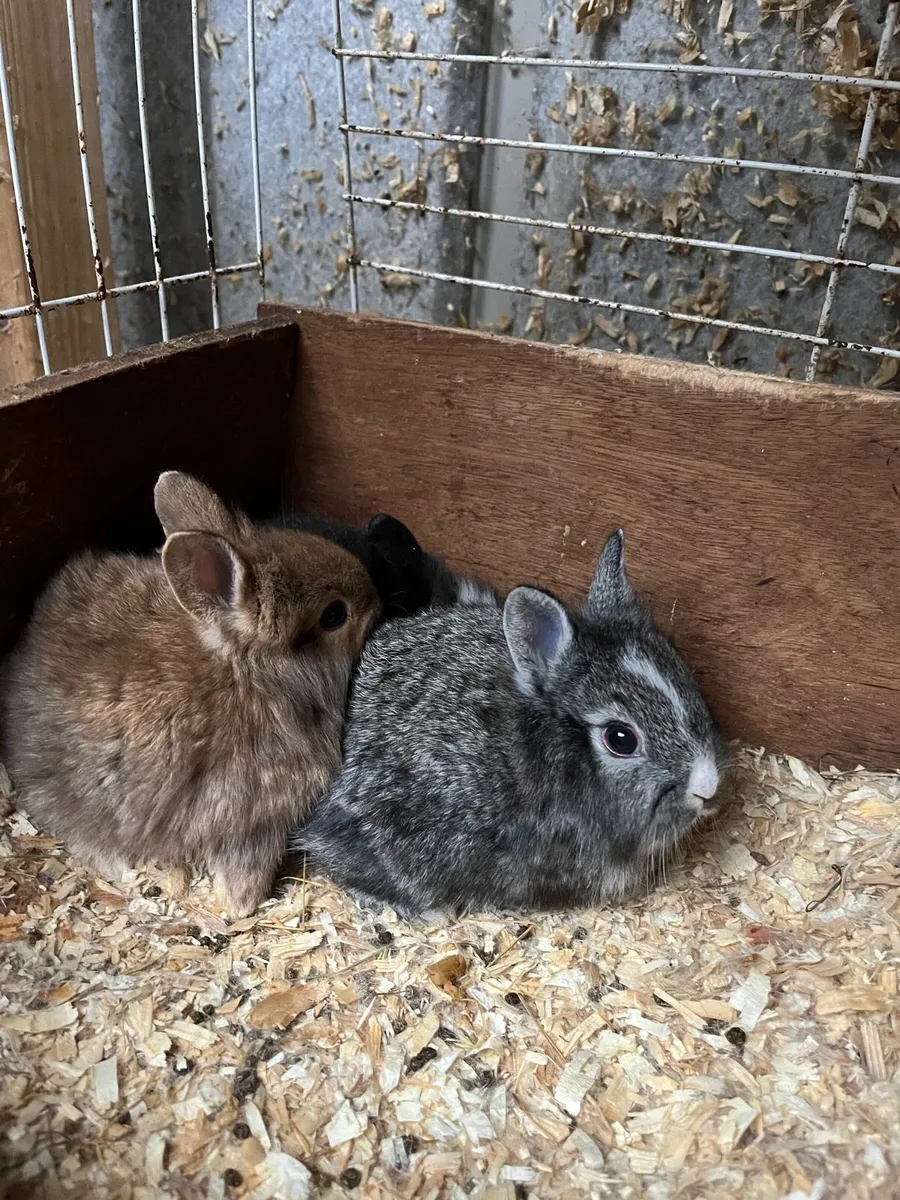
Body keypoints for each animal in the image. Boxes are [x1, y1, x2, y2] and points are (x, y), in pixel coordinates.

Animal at [0, 471, 381, 916]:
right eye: (334, 614)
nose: (376, 598)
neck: (249, 673)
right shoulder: (257, 815)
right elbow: (244, 876)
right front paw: (242, 908)